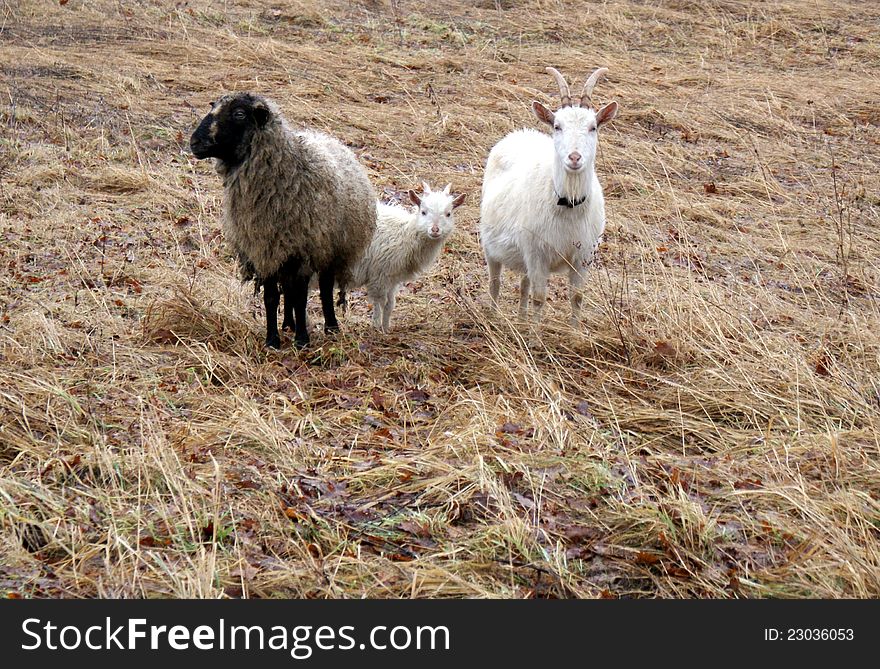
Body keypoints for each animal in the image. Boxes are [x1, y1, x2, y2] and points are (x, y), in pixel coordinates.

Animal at [189, 94, 374, 350]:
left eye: (239, 114)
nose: (194, 142)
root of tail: (328, 138)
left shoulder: (303, 250)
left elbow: (301, 298)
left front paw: (302, 340)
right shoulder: (265, 250)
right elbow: (272, 297)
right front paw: (272, 340)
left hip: (331, 248)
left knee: (324, 288)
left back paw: (330, 326)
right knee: (288, 289)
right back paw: (288, 324)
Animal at [482, 66, 620, 324]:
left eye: (593, 127)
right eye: (557, 126)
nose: (574, 157)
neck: (568, 205)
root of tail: (520, 133)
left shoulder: (582, 257)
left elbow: (577, 298)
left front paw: (574, 330)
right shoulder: (537, 255)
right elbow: (539, 298)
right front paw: (535, 334)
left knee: (523, 284)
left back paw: (521, 319)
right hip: (491, 245)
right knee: (495, 282)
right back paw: (494, 317)